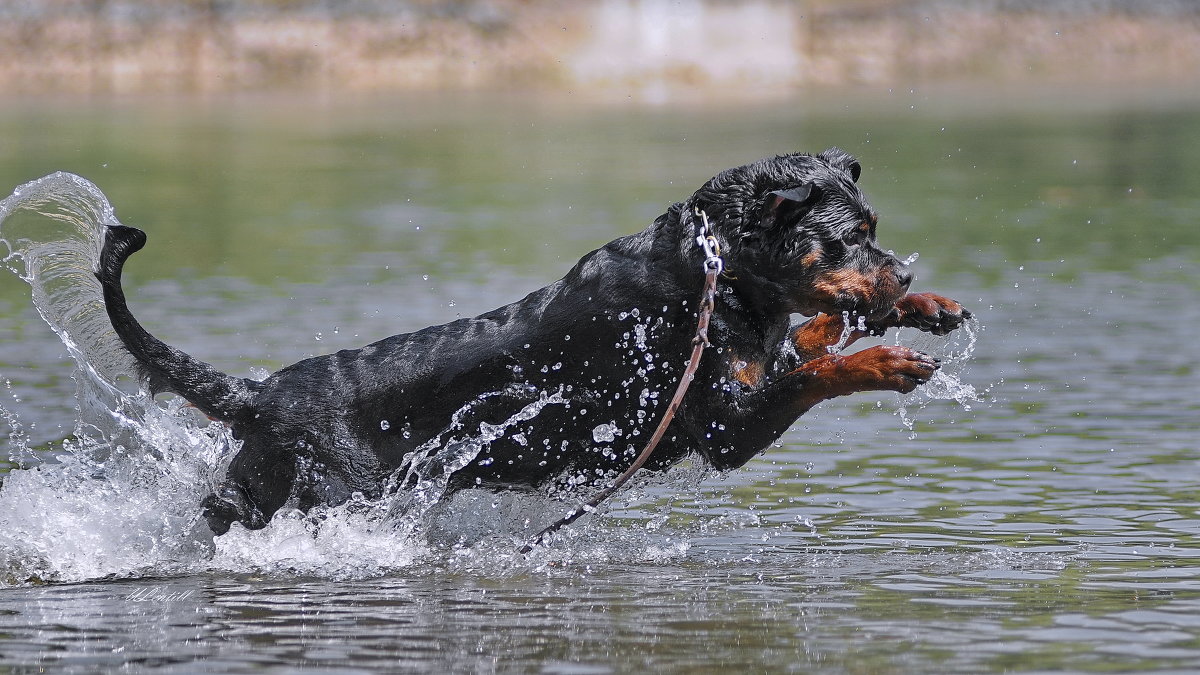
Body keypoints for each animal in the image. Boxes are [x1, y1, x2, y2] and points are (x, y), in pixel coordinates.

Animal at [98, 147, 969, 530]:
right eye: (849, 236)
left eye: (876, 228)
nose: (900, 269)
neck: (710, 266)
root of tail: (260, 395)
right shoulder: (724, 424)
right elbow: (820, 370)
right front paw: (889, 358)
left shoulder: (763, 351)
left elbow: (820, 334)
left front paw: (921, 305)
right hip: (318, 497)